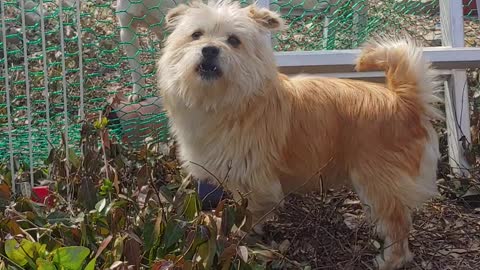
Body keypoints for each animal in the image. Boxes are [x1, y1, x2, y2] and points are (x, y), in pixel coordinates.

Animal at [157, 1, 442, 268]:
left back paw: (390, 260)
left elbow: (250, 215)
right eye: (196, 35)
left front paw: (240, 239)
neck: (228, 100)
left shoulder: (258, 184)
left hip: (378, 183)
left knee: (398, 227)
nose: (209, 49)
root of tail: (404, 100)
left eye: (234, 41)